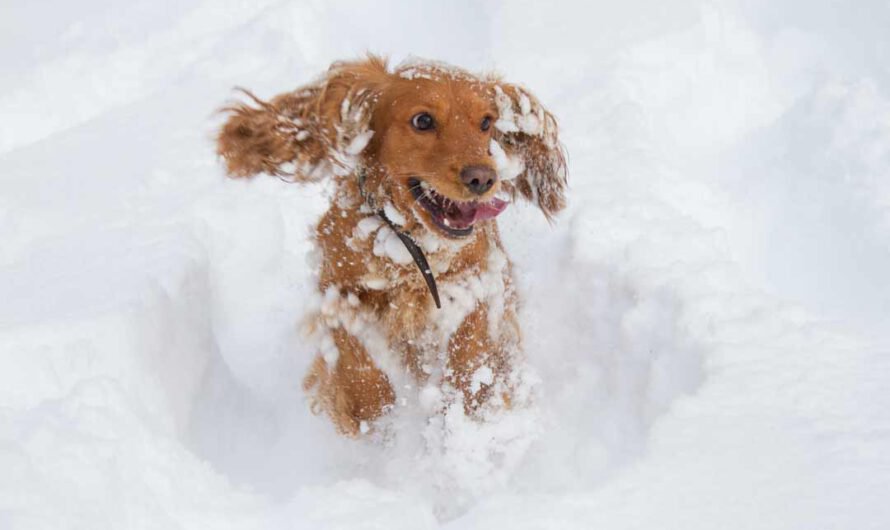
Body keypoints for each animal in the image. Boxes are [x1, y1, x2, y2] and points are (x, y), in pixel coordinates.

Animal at [217, 54, 560, 434]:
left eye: (486, 122)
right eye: (423, 120)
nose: (483, 178)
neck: (409, 245)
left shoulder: (481, 279)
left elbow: (472, 344)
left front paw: (466, 409)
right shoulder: (336, 286)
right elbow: (351, 351)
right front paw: (374, 413)